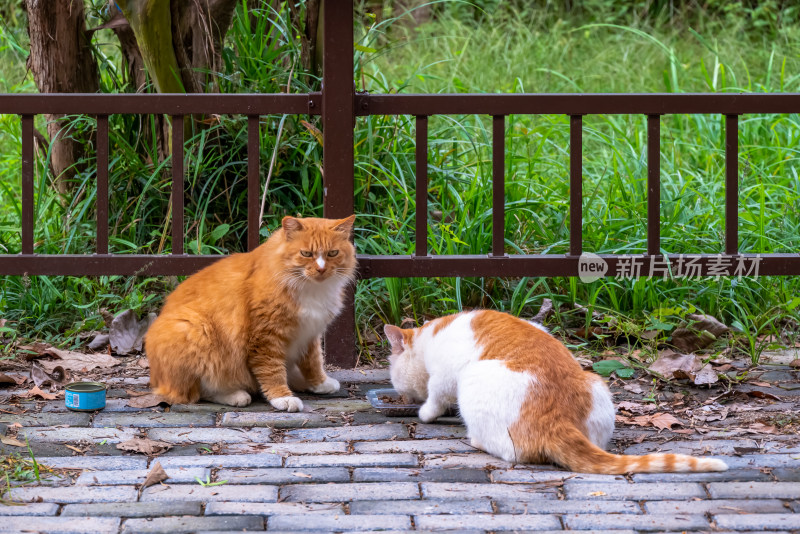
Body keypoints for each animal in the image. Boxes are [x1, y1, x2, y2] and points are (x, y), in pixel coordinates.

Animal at [145, 216, 356, 412]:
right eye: (306, 254)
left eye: (332, 253)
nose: (321, 269)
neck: (311, 289)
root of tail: (156, 378)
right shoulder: (266, 337)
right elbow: (272, 371)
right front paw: (282, 397)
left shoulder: (310, 333)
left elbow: (313, 362)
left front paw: (319, 383)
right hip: (196, 329)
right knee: (198, 391)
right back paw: (236, 395)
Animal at [384, 312, 728, 476]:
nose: (404, 398)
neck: (431, 336)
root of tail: (558, 421)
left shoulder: (444, 376)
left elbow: (435, 398)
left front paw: (425, 412)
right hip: (597, 385)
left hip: (473, 379)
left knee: (510, 451)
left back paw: (476, 440)